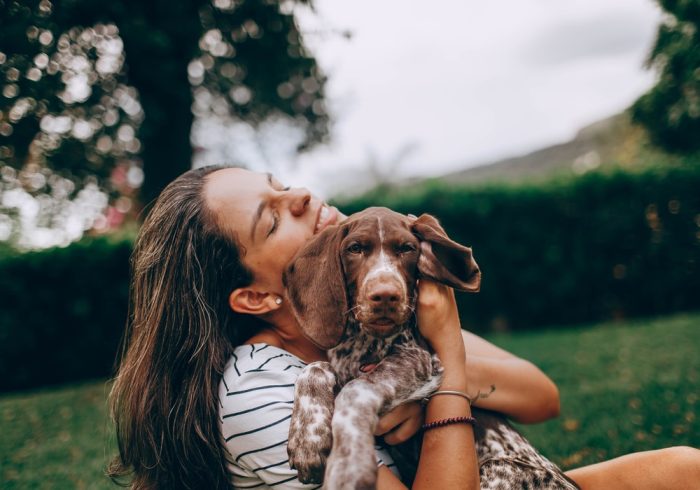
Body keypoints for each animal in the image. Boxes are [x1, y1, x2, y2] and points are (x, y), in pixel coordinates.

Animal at [282, 207, 576, 490]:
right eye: (355, 248)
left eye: (407, 249)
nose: (386, 296)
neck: (362, 341)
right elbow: (314, 368)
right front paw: (308, 438)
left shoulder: (419, 360)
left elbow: (355, 390)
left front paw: (348, 463)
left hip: (499, 466)